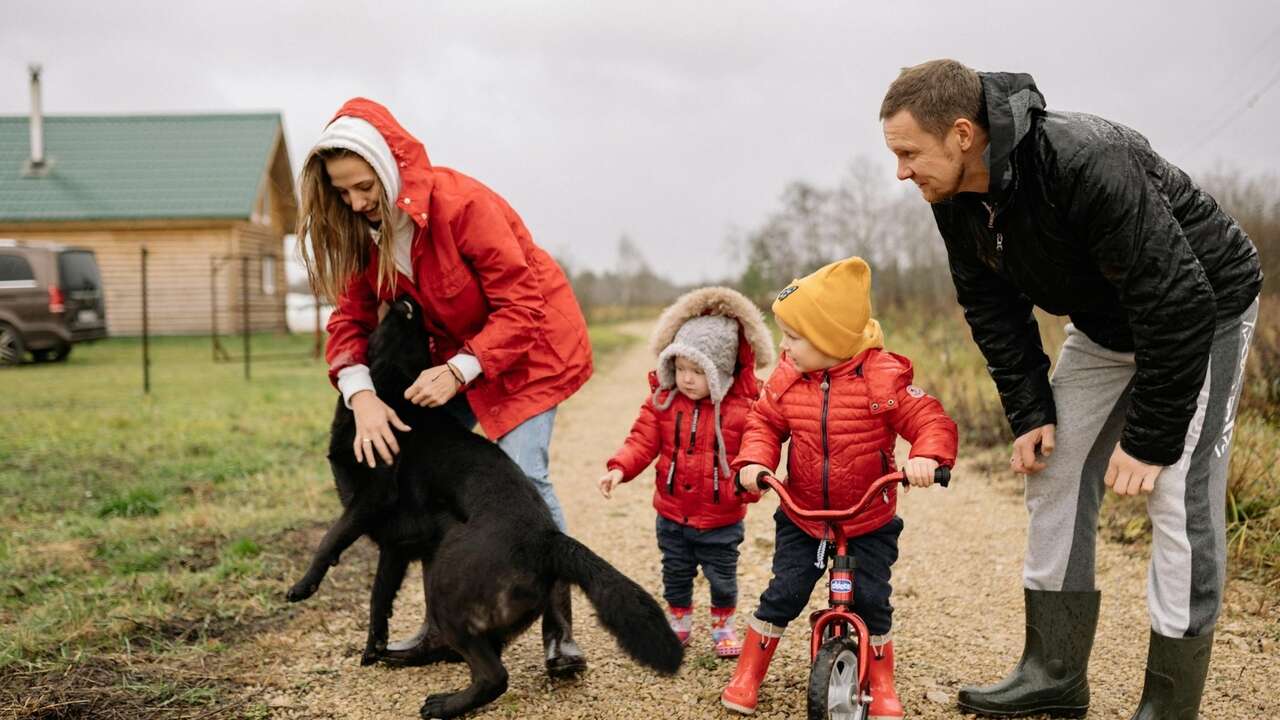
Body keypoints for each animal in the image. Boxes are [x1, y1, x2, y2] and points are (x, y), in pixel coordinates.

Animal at [286, 294, 686, 712]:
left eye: (411, 324)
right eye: (422, 333)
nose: (408, 299)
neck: (393, 387)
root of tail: (546, 539)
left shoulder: (369, 499)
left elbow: (330, 539)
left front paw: (303, 586)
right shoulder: (395, 549)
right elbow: (379, 597)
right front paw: (373, 646)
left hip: (448, 585)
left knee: (495, 675)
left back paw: (445, 705)